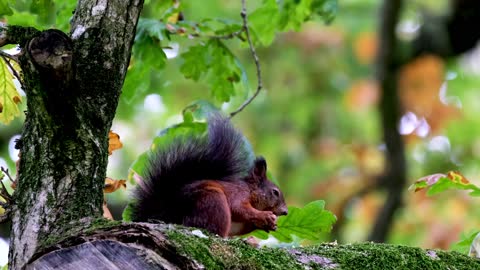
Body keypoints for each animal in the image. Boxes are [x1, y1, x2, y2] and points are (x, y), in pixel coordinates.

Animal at [128, 115, 288, 237]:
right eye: (275, 192)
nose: (285, 212)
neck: (250, 190)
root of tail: (169, 213)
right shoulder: (238, 193)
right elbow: (239, 208)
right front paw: (265, 216)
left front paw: (270, 224)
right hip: (212, 199)